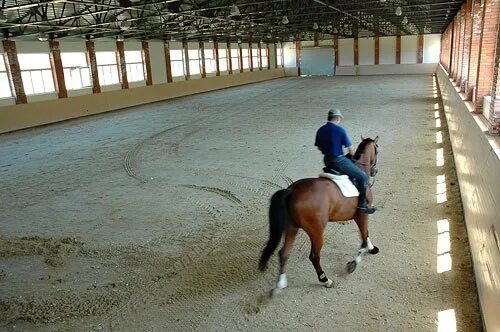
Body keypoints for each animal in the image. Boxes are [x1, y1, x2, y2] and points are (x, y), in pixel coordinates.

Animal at [258, 135, 378, 290]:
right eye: (377, 149)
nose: (375, 171)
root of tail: (292, 190)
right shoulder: (363, 214)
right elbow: (363, 237)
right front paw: (354, 262)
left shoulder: (359, 216)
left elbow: (366, 234)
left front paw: (371, 247)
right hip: (316, 231)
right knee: (314, 256)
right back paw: (325, 280)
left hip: (292, 227)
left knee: (284, 253)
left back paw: (280, 284)